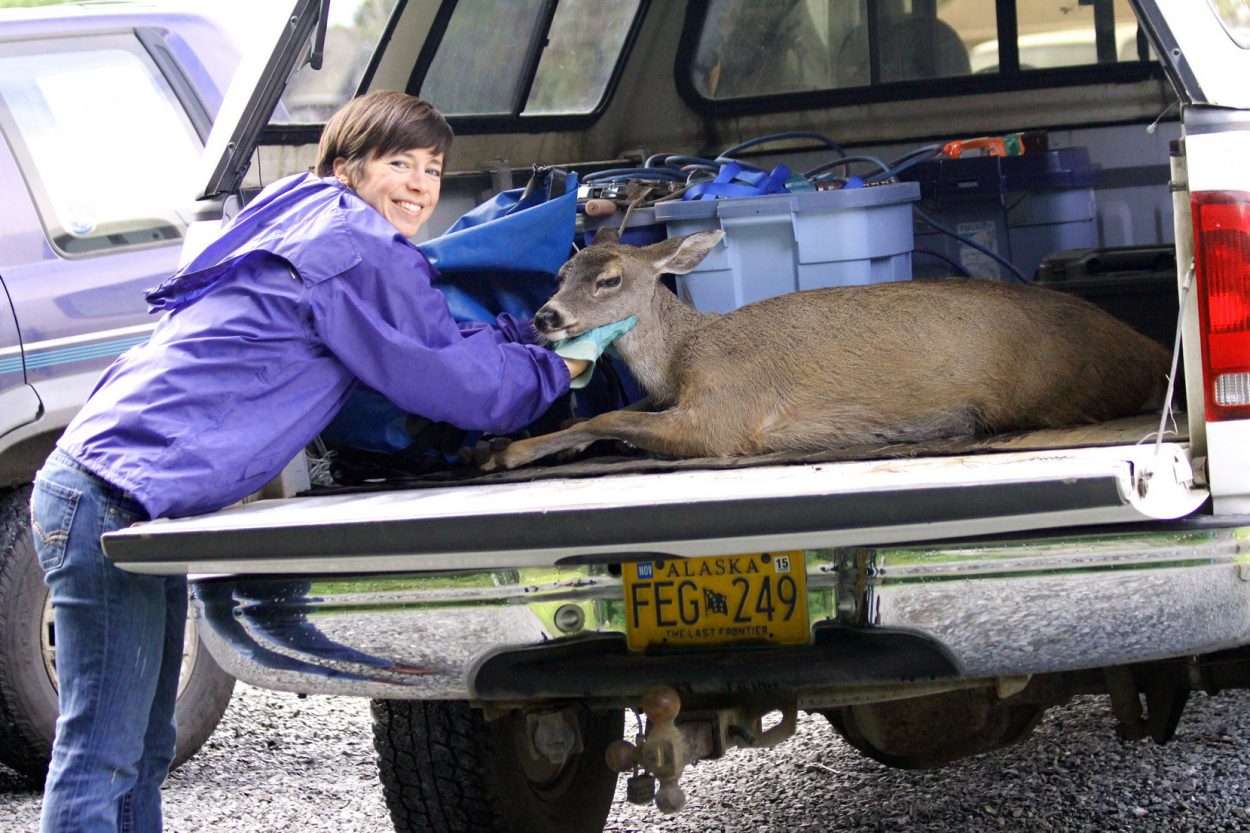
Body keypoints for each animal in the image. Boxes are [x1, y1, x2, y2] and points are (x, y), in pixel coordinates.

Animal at [486, 227, 1172, 471]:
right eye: (558, 275)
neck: (682, 357)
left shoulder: (725, 415)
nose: (545, 317)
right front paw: (506, 446)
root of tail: (1157, 351)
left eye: (609, 280)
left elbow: (609, 415)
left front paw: (508, 450)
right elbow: (612, 415)